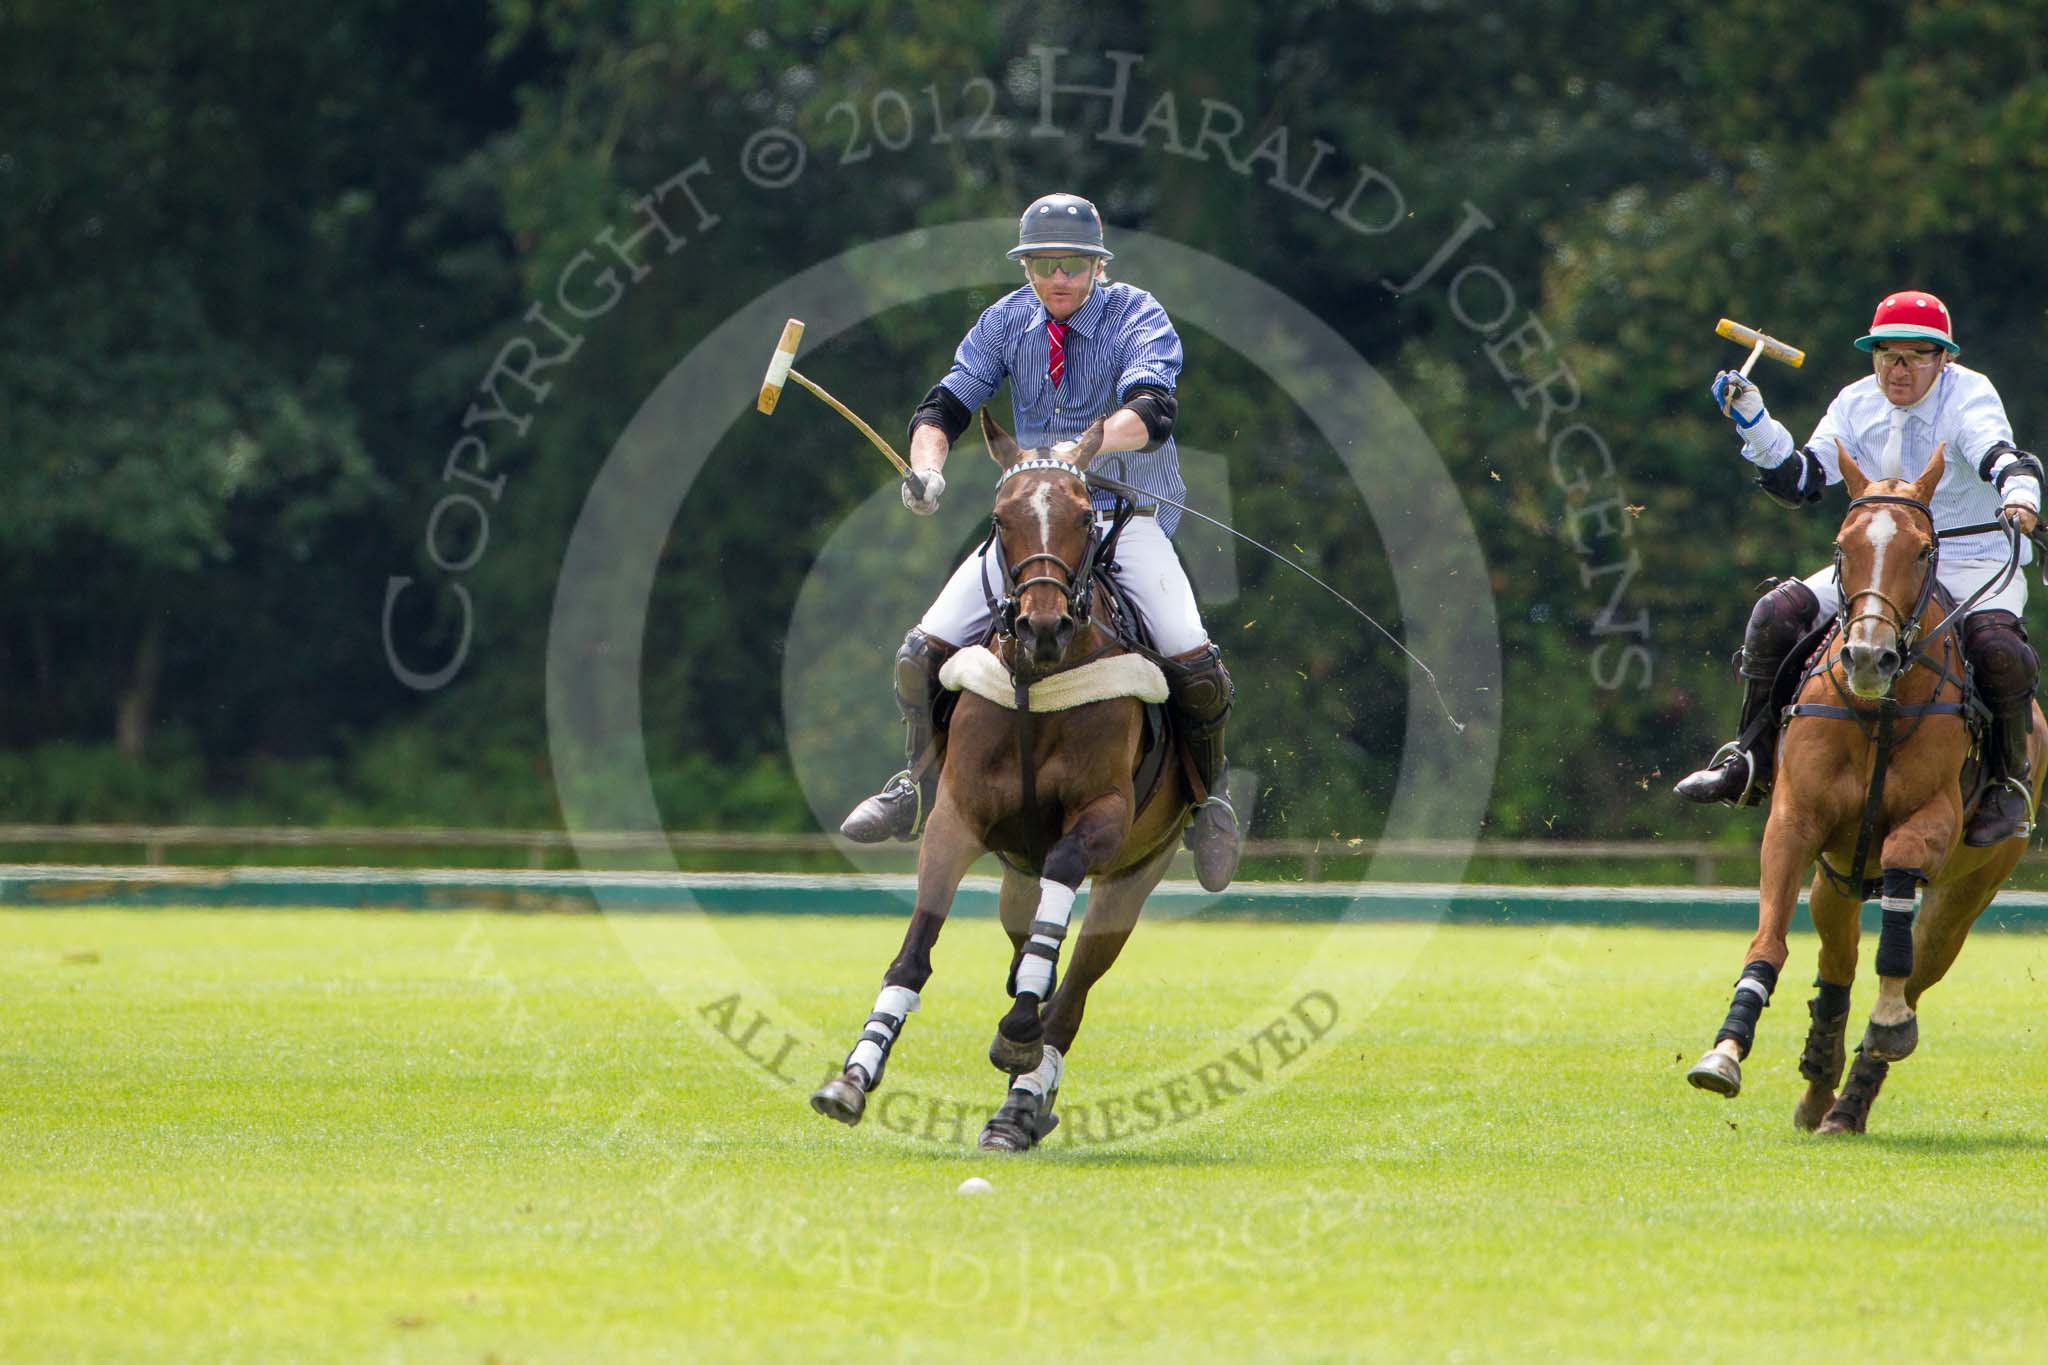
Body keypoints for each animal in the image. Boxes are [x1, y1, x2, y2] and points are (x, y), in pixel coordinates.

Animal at [815, 409, 1196, 1154]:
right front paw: (854, 1074)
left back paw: (1021, 1103)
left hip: (1136, 874)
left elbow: (1060, 908)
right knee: (1026, 939)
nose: (1042, 625)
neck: (1038, 680)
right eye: (1001, 516)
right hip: (1016, 870)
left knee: (1071, 991)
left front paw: (1020, 1036)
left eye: (1082, 515)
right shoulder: (955, 817)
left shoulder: (1103, 813)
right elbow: (914, 953)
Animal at [1687, 446, 2039, 1129]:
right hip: (1839, 876)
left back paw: (1852, 1097)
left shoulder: (1931, 820)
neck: (1878, 709)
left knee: (1916, 971)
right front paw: (1725, 1052)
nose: (1868, 659)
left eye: (1925, 550)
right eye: (1842, 545)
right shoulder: (1795, 823)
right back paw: (1819, 1085)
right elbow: (1770, 938)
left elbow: (1898, 923)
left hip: (1971, 888)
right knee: (1837, 968)